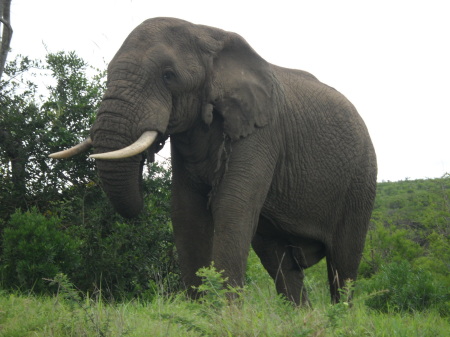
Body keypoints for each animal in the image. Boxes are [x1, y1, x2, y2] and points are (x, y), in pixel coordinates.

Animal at [51, 17, 378, 306]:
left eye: (168, 75)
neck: (207, 35)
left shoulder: (262, 131)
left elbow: (231, 207)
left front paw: (226, 315)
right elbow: (186, 212)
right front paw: (199, 313)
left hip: (361, 179)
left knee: (343, 261)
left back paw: (340, 317)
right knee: (279, 259)